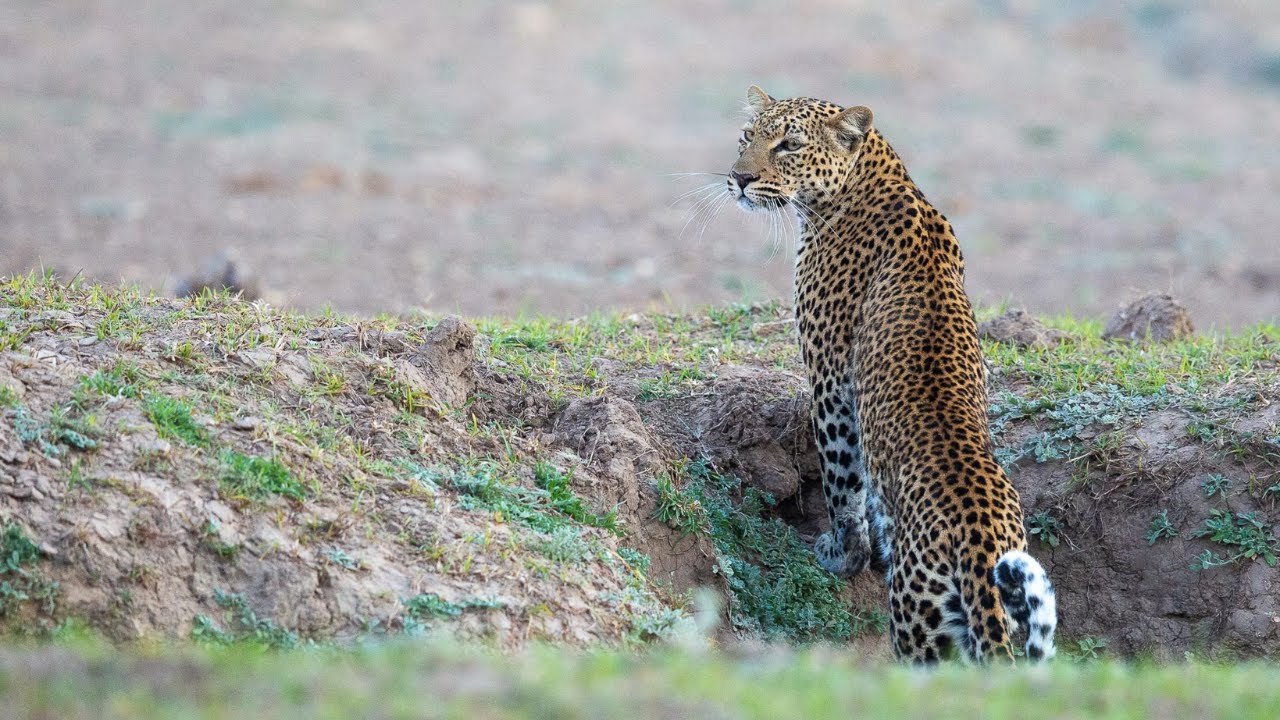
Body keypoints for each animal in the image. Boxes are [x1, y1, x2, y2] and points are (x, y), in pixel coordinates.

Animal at [724, 85, 1056, 663]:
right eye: (748, 137)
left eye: (789, 145)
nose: (740, 178)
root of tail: (982, 539)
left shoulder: (831, 379)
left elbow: (841, 483)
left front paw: (841, 554)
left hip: (918, 621)